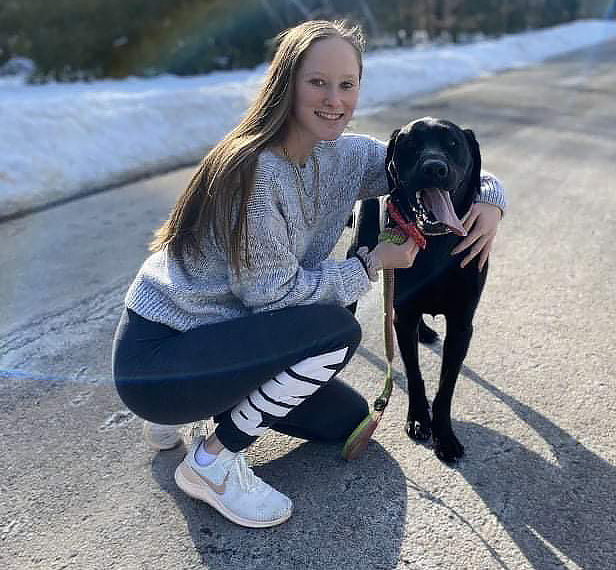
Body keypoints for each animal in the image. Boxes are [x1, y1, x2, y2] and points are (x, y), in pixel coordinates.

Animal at [352, 116, 486, 462]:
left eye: (453, 143)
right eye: (411, 144)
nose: (434, 168)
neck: (435, 243)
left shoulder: (461, 325)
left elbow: (446, 386)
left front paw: (445, 435)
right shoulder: (404, 315)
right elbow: (414, 374)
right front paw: (417, 418)